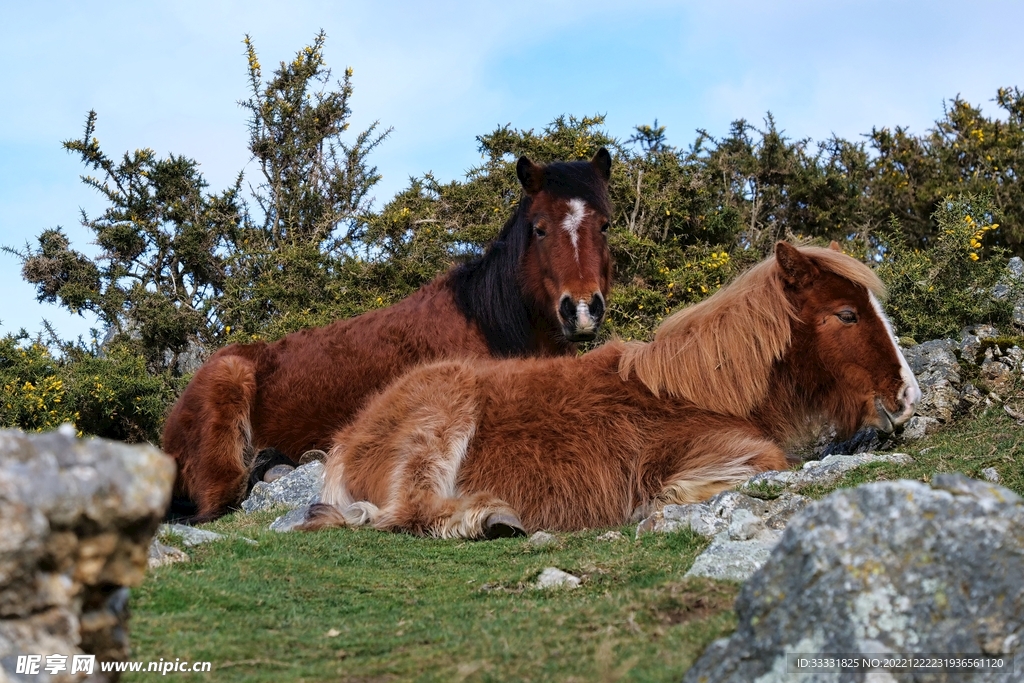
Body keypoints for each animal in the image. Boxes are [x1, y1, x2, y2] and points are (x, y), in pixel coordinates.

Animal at [301, 242, 921, 539]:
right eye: (846, 314)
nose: (909, 397)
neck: (703, 392)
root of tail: (349, 438)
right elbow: (767, 463)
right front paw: (665, 501)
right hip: (440, 420)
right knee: (409, 513)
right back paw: (487, 518)